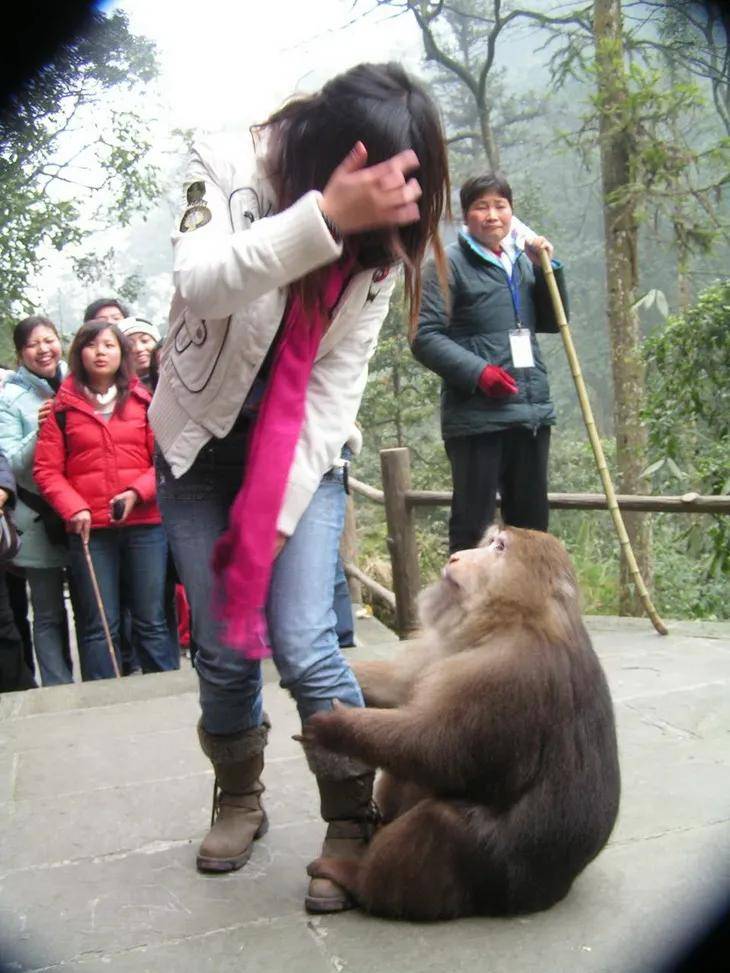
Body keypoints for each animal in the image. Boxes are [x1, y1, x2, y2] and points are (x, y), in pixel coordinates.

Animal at [302, 524, 620, 920]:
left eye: (499, 548)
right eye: (490, 541)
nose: (456, 556)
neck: (512, 621)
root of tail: (553, 892)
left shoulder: (504, 676)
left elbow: (437, 748)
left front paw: (337, 728)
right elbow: (403, 690)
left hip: (494, 879)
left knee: (439, 822)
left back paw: (355, 879)